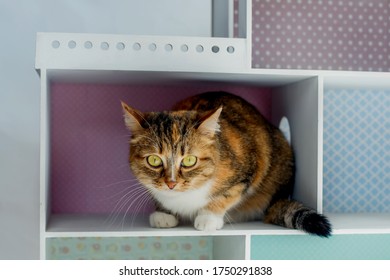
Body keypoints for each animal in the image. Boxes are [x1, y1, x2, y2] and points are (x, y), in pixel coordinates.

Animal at [122, 91, 332, 236]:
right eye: (154, 160)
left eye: (189, 160)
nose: (171, 183)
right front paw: (163, 214)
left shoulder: (249, 168)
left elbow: (228, 194)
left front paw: (208, 217)